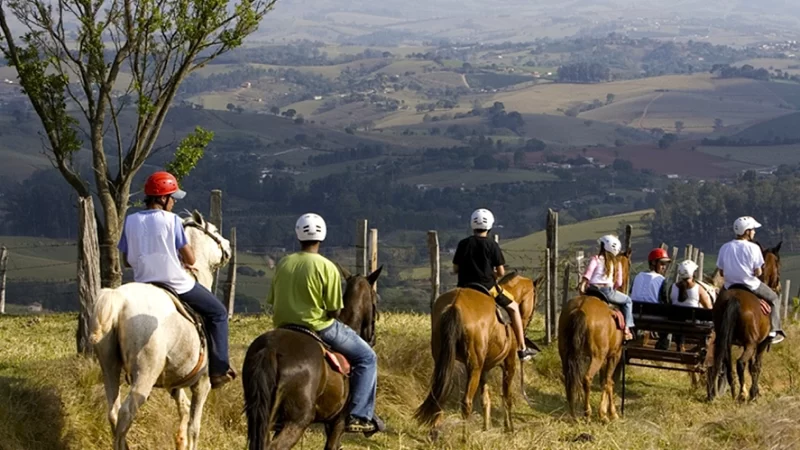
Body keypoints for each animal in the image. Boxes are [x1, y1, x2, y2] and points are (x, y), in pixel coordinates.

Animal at [88, 211, 231, 450]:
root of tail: (118, 299)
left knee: (114, 412)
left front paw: (180, 441)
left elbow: (183, 408)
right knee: (126, 412)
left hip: (108, 365)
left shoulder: (175, 383)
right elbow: (194, 427)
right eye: (214, 230)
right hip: (145, 372)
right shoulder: (202, 384)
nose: (228, 245)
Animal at [242, 266, 382, 448]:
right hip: (297, 421)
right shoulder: (338, 423)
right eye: (376, 300)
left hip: (262, 415)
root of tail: (271, 349)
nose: (373, 338)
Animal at [416, 270, 540, 436]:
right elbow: (506, 397)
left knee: (440, 395)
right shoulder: (509, 363)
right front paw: (509, 428)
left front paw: (486, 428)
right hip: (474, 367)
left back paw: (435, 431)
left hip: (445, 362)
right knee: (466, 402)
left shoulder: (484, 368)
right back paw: (465, 437)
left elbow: (485, 399)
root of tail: (455, 304)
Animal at [556, 250, 632, 422]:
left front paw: (604, 412)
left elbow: (605, 381)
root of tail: (580, 308)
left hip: (565, 353)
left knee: (569, 379)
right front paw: (609, 413)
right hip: (597, 357)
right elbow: (608, 382)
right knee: (587, 379)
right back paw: (587, 413)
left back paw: (573, 413)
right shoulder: (614, 355)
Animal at [708, 241, 780, 402]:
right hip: (750, 344)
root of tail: (734, 298)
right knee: (740, 363)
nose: (778, 287)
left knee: (722, 363)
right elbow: (756, 366)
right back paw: (742, 394)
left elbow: (750, 366)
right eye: (779, 263)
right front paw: (754, 393)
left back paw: (721, 392)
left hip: (724, 340)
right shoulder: (761, 344)